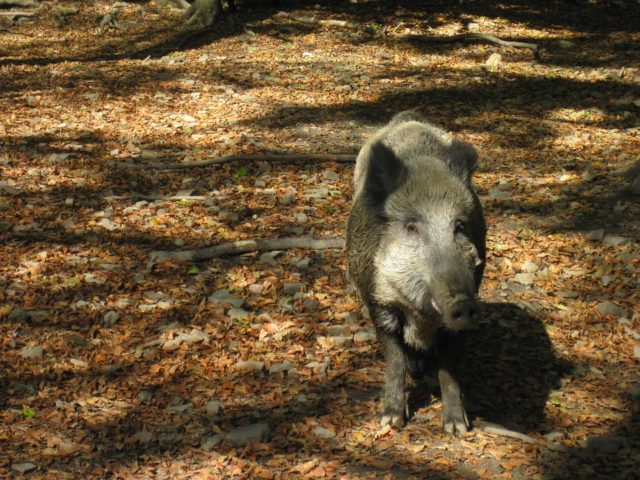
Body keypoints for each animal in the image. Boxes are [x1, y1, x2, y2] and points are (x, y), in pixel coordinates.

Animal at [346, 111, 486, 434]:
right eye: (411, 227)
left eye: (460, 226)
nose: (463, 304)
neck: (421, 313)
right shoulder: (379, 305)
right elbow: (395, 361)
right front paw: (392, 421)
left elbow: (449, 369)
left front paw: (457, 428)